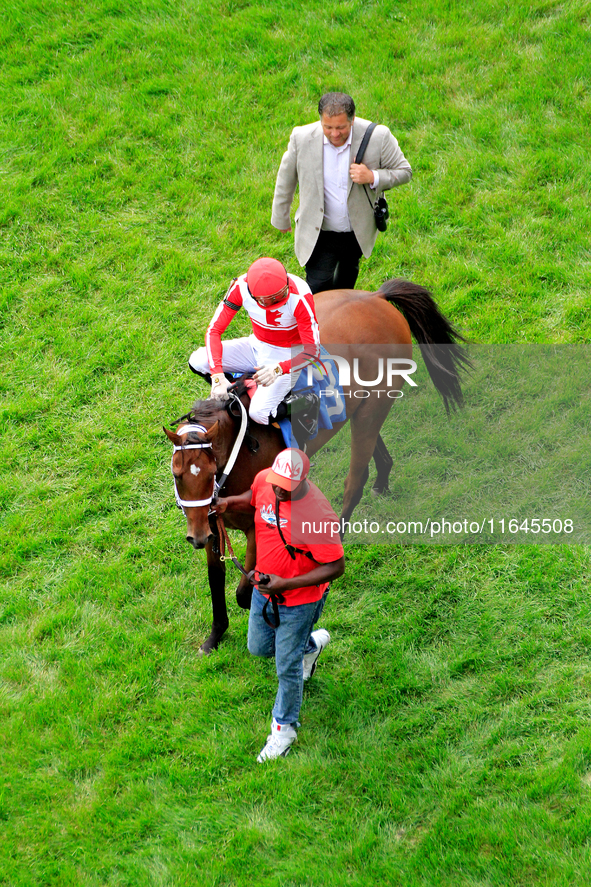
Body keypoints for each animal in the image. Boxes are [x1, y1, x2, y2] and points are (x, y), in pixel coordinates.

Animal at [164, 280, 470, 656]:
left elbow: (243, 591)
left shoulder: (254, 528)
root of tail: (376, 298)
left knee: (356, 479)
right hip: (361, 409)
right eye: (178, 474)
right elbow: (216, 580)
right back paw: (382, 479)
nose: (194, 537)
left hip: (373, 408)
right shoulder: (211, 523)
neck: (238, 451)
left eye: (207, 473)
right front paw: (215, 634)